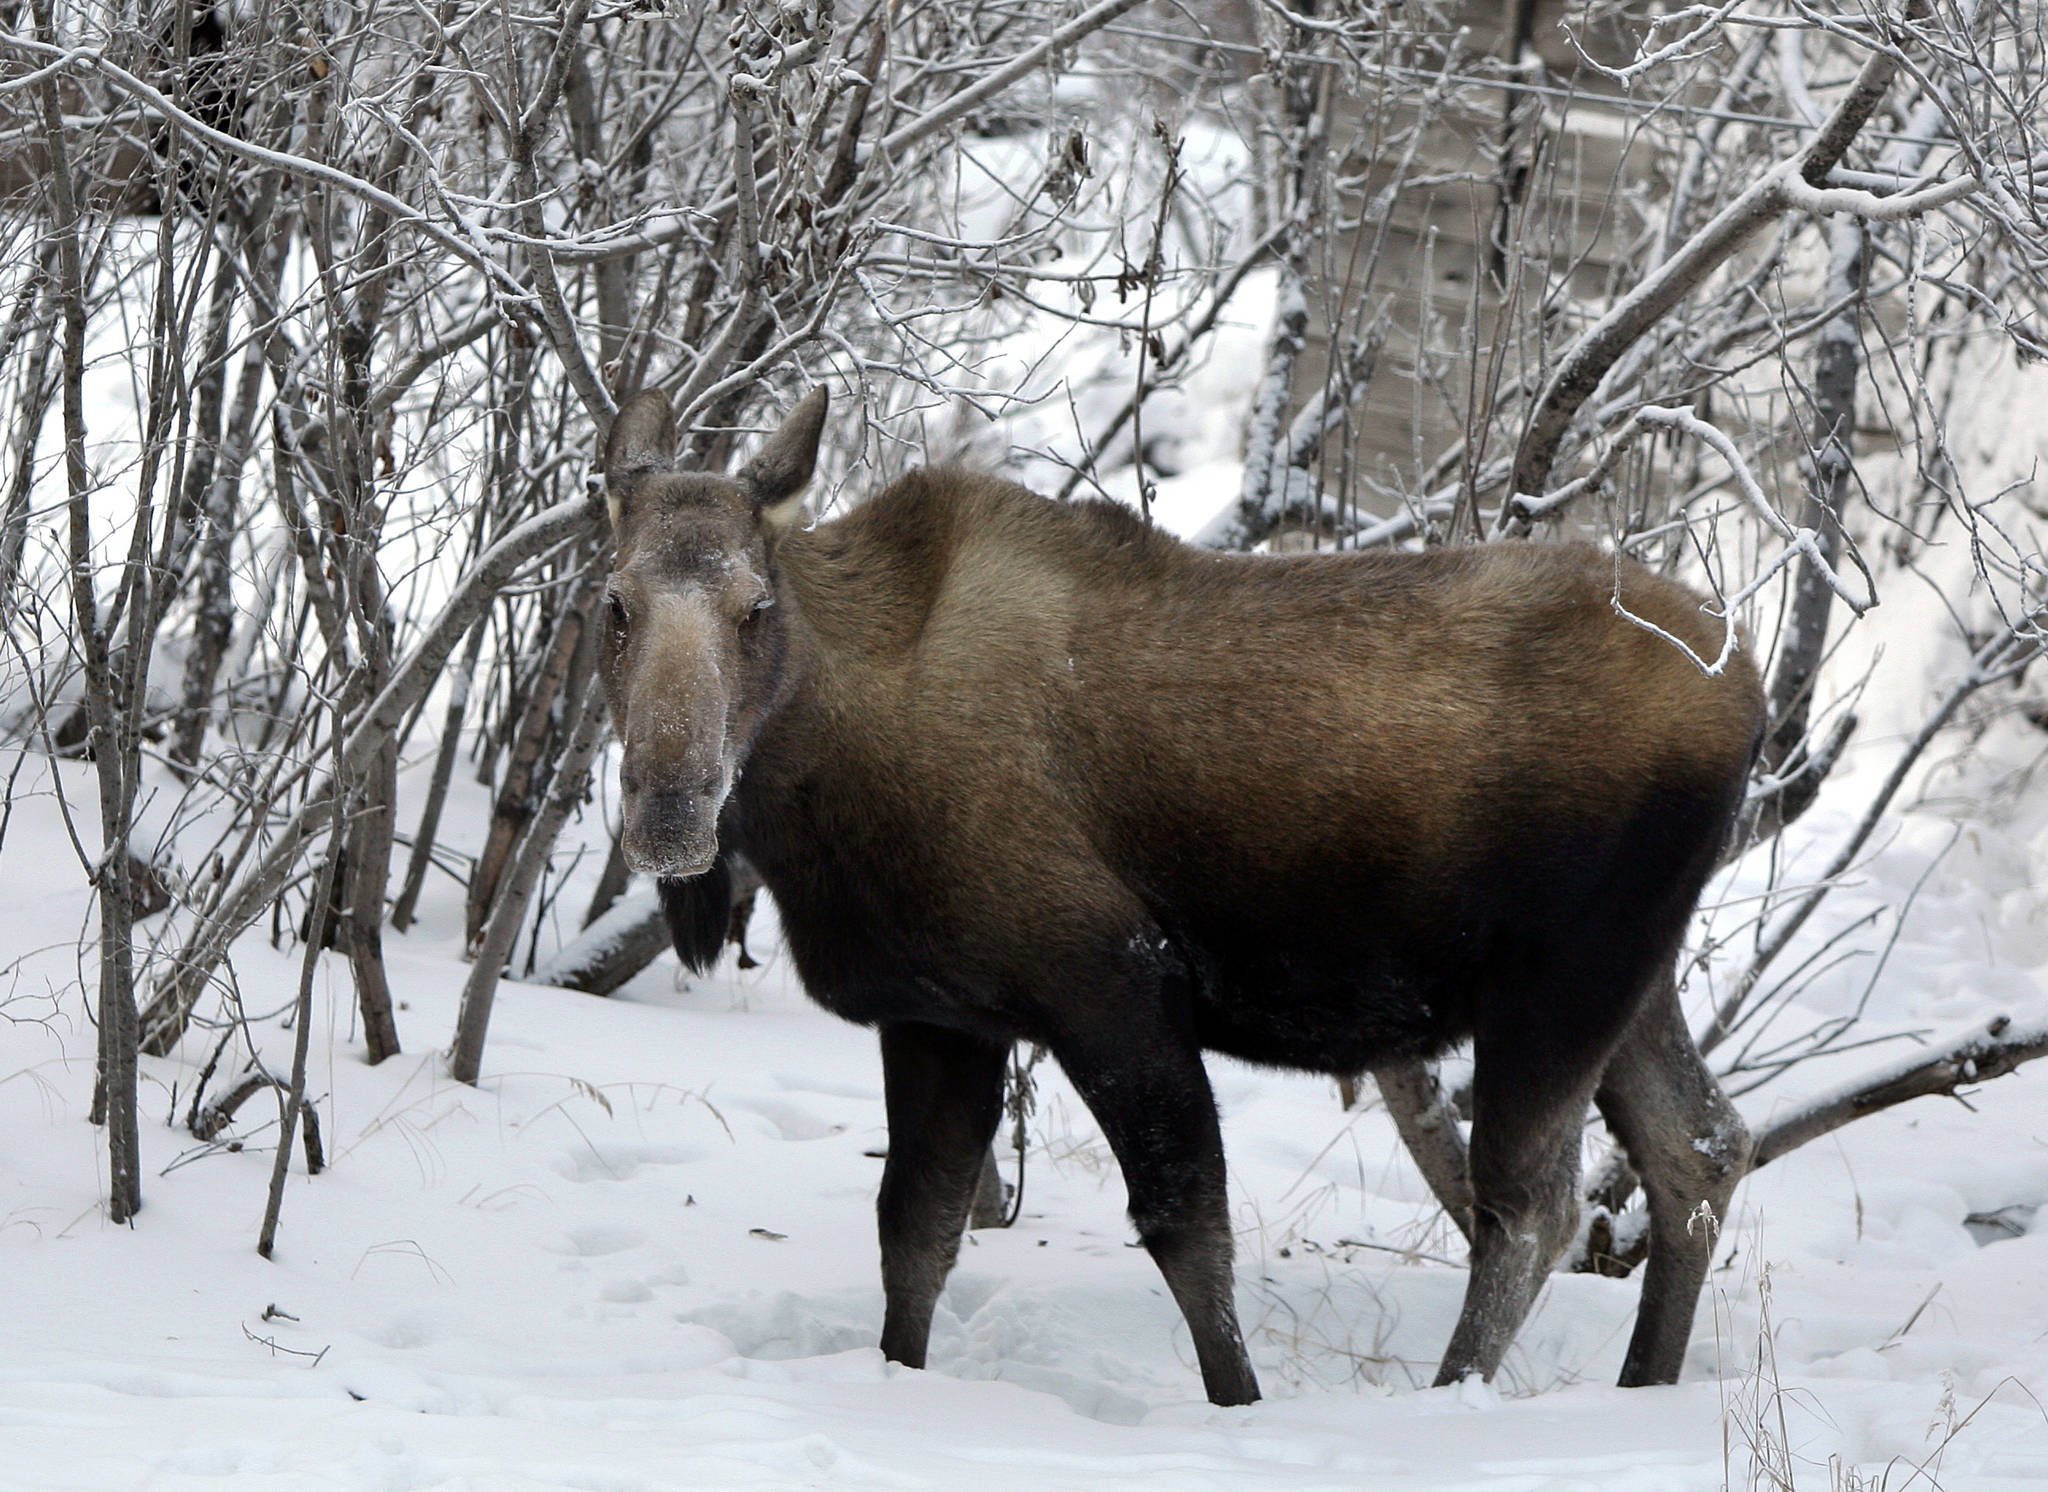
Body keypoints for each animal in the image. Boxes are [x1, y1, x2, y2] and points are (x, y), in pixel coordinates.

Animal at [598, 384, 1761, 1408]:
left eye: (754, 607)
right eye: (612, 605)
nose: (670, 811)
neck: (823, 780)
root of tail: (1747, 690)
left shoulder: (1110, 981)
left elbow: (1184, 1227)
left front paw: (1238, 1405)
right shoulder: (940, 1017)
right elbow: (914, 1230)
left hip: (1560, 985)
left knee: (1534, 1207)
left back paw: (1453, 1399)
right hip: (1634, 975)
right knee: (1697, 1145)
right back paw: (1643, 1381)